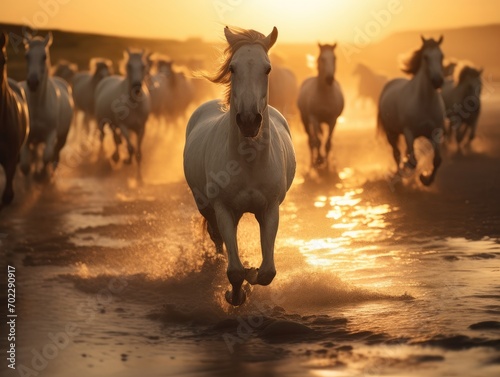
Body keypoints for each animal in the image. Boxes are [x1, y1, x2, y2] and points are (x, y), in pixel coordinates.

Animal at [20, 31, 73, 178]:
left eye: (44, 57)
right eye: (27, 56)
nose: (33, 83)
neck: (38, 106)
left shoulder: (51, 134)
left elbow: (47, 156)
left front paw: (41, 175)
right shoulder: (28, 137)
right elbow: (25, 165)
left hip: (62, 137)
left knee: (56, 154)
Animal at [94, 49, 150, 181]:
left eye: (143, 66)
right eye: (129, 66)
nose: (136, 87)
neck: (134, 105)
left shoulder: (141, 128)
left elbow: (138, 153)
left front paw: (139, 178)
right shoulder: (124, 126)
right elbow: (130, 148)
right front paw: (127, 161)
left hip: (114, 123)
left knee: (115, 137)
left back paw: (116, 156)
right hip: (101, 121)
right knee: (103, 136)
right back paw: (103, 156)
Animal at [183, 26, 294, 304]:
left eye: (267, 68)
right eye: (233, 68)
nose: (248, 121)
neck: (248, 163)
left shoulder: (270, 209)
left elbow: (267, 272)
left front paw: (251, 274)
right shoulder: (222, 209)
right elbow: (233, 271)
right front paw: (235, 295)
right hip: (206, 207)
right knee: (217, 238)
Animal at [378, 36, 446, 186]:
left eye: (441, 56)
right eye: (425, 57)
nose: (437, 81)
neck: (425, 102)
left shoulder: (435, 132)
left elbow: (437, 160)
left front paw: (425, 179)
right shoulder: (409, 133)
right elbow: (413, 161)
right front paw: (418, 175)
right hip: (391, 133)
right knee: (397, 154)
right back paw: (398, 174)